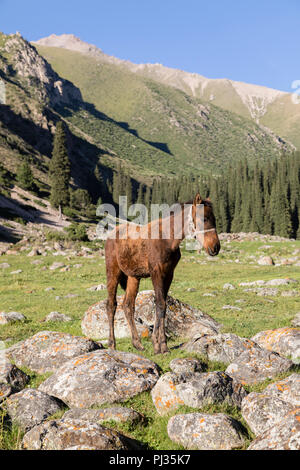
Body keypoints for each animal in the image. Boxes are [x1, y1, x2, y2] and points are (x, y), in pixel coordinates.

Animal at [105, 194, 220, 352]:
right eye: (204, 218)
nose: (215, 248)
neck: (168, 240)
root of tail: (110, 235)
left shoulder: (169, 274)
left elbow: (162, 306)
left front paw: (158, 343)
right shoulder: (156, 273)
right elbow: (160, 305)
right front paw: (161, 346)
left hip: (133, 277)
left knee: (128, 306)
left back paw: (137, 343)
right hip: (113, 272)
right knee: (111, 305)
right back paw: (112, 344)